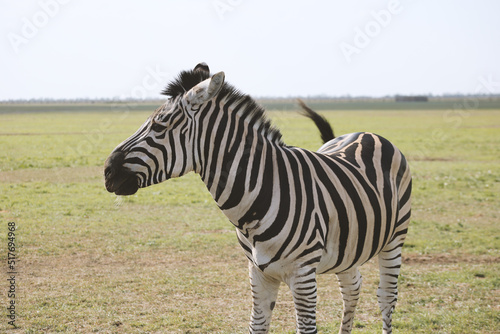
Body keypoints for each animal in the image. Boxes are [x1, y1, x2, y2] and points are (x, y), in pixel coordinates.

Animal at [104, 63, 410, 334]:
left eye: (159, 125)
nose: (107, 171)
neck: (261, 195)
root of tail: (365, 133)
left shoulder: (302, 275)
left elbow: (307, 328)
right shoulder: (258, 272)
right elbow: (257, 326)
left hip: (394, 239)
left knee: (386, 298)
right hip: (347, 250)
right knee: (352, 289)